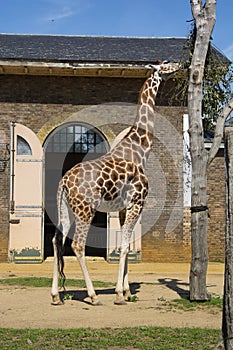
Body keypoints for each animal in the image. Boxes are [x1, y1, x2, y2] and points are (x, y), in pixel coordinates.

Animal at [51, 60, 179, 306]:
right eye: (166, 64)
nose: (181, 64)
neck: (140, 150)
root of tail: (64, 182)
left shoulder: (121, 208)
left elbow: (125, 245)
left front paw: (127, 291)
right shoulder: (137, 203)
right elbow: (124, 245)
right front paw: (120, 294)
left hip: (66, 209)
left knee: (57, 240)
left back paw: (55, 296)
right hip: (85, 210)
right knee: (77, 244)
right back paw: (92, 296)